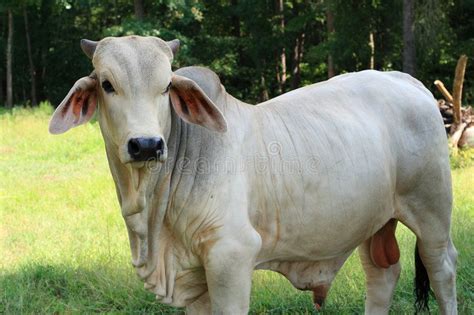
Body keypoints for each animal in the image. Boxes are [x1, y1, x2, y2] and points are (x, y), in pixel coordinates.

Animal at [48, 36, 456, 315]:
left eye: (165, 87)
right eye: (107, 84)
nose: (146, 144)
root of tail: (408, 81)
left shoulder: (232, 254)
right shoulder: (194, 276)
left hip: (432, 212)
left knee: (443, 270)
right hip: (374, 222)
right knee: (382, 276)